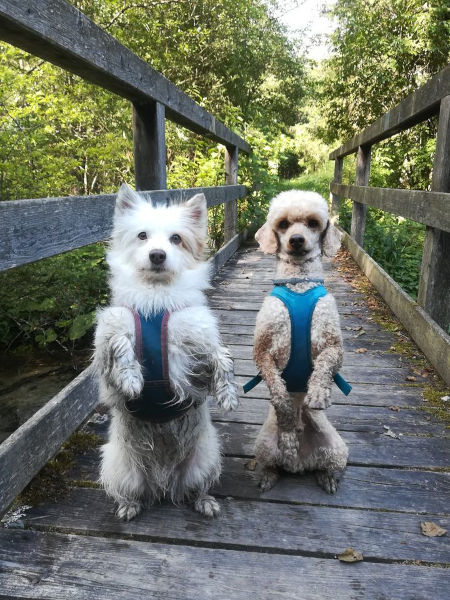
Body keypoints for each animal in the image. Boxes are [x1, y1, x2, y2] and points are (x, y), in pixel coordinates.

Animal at [93, 184, 238, 521]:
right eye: (142, 236)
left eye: (176, 238)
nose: (157, 255)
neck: (156, 299)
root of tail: (162, 481)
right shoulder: (107, 342)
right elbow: (120, 343)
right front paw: (132, 378)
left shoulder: (195, 346)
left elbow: (219, 356)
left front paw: (227, 392)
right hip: (121, 467)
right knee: (131, 491)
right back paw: (129, 505)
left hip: (204, 459)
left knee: (196, 487)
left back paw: (204, 501)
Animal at [247, 190, 349, 493]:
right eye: (283, 224)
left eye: (313, 223)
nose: (296, 240)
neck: (299, 284)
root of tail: (300, 464)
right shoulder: (262, 349)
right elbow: (277, 388)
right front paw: (286, 415)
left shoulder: (333, 343)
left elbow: (325, 364)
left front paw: (317, 393)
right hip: (264, 443)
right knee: (273, 462)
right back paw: (273, 469)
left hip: (337, 448)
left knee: (327, 464)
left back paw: (326, 477)